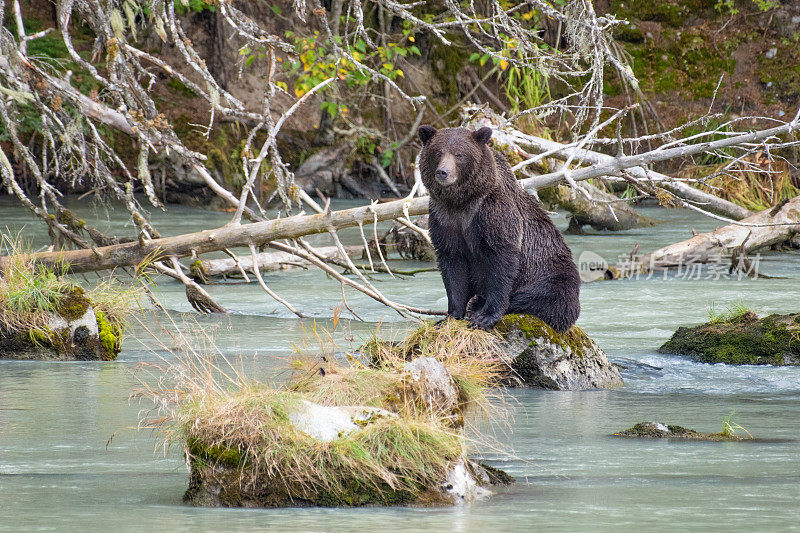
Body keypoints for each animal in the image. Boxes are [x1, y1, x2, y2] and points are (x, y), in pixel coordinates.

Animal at [418, 126, 580, 330]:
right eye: (438, 153)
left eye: (459, 154)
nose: (443, 172)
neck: (462, 202)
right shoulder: (444, 218)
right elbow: (452, 264)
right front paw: (449, 316)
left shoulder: (493, 213)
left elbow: (500, 261)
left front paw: (485, 317)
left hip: (553, 272)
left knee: (546, 298)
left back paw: (478, 302)